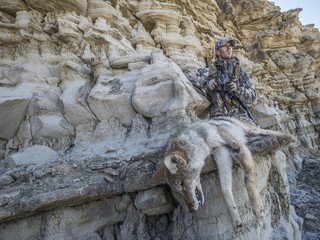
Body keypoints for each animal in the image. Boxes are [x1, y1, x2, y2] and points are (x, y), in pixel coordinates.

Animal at [151, 117, 296, 232]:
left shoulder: (236, 146)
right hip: (250, 137)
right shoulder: (221, 152)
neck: (202, 139)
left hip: (252, 131)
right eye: (178, 190)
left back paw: (289, 136)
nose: (192, 210)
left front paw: (257, 207)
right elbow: (225, 189)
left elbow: (248, 178)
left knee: (271, 132)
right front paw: (236, 221)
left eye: (181, 184)